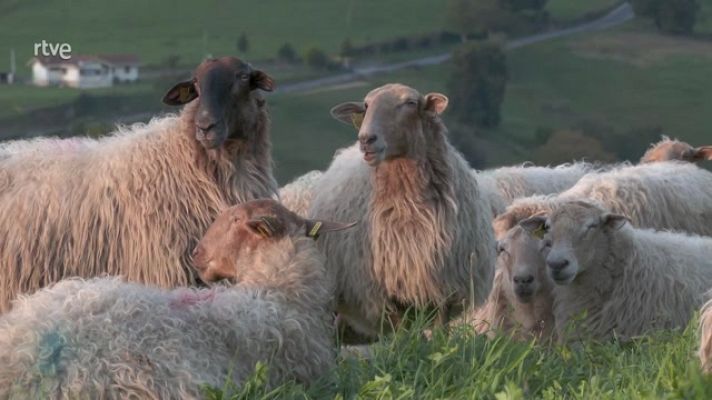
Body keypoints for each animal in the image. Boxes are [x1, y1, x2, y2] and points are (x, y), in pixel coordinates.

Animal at [309, 83, 496, 341]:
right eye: (366, 104)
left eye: (410, 103)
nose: (366, 139)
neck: (410, 205)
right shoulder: (389, 292)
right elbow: (404, 337)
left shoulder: (444, 289)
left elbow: (439, 334)